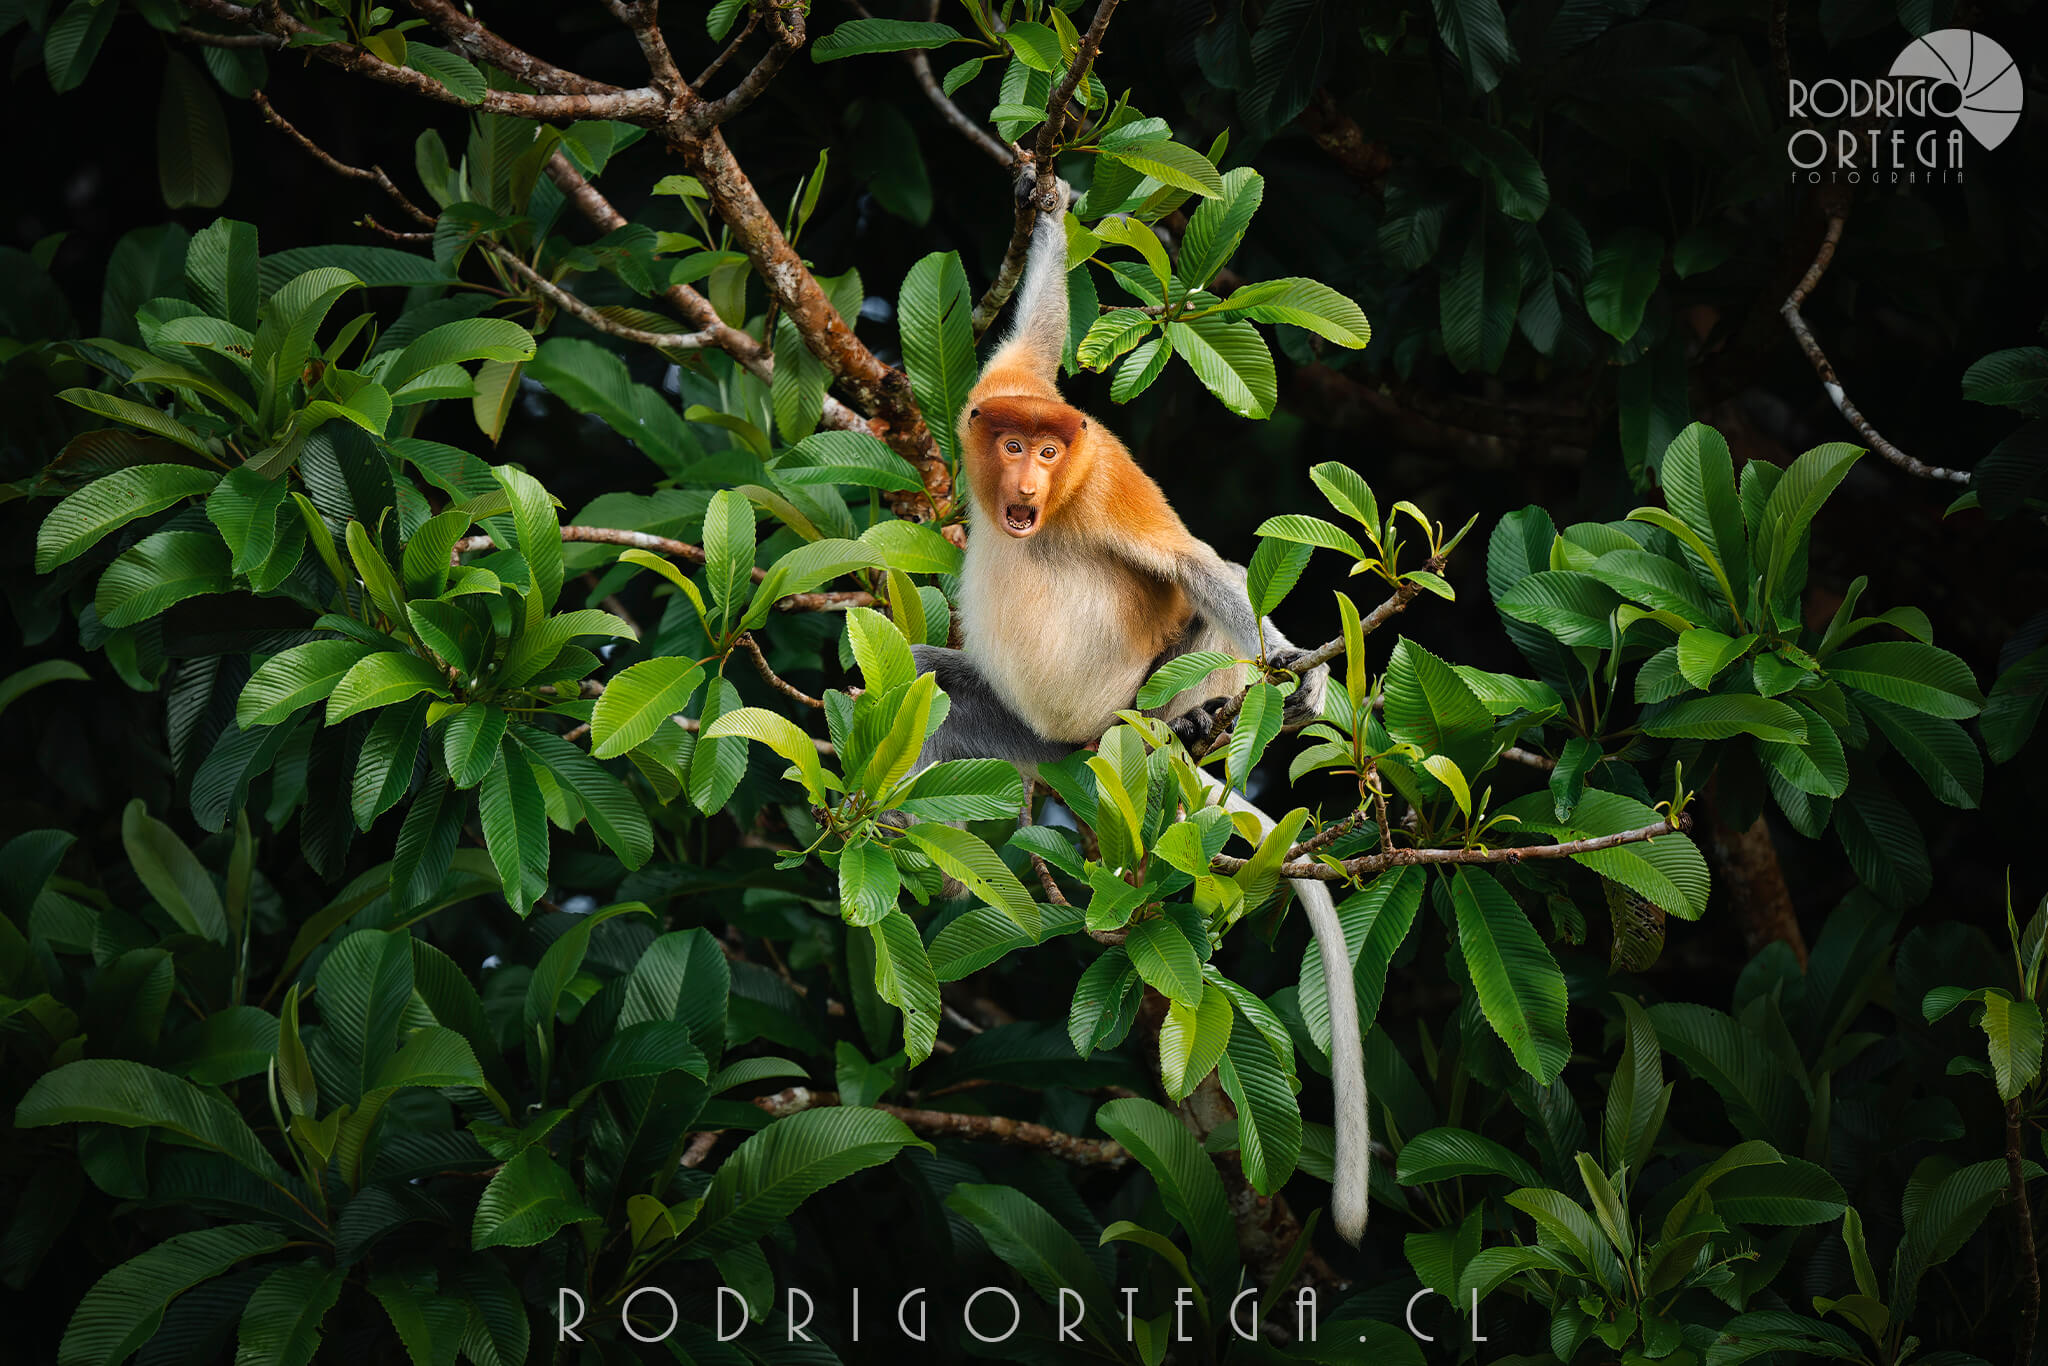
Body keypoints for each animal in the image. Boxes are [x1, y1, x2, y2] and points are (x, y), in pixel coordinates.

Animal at [905, 169, 1371, 1245]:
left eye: (1047, 453)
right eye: (1011, 443)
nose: (1024, 480)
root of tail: (1080, 738)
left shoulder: (1103, 487)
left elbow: (1200, 565)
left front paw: (1299, 670)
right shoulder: (992, 397)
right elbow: (1029, 344)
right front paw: (1050, 208)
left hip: (1123, 706)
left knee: (1198, 620)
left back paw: (1198, 729)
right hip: (1021, 730)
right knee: (927, 678)